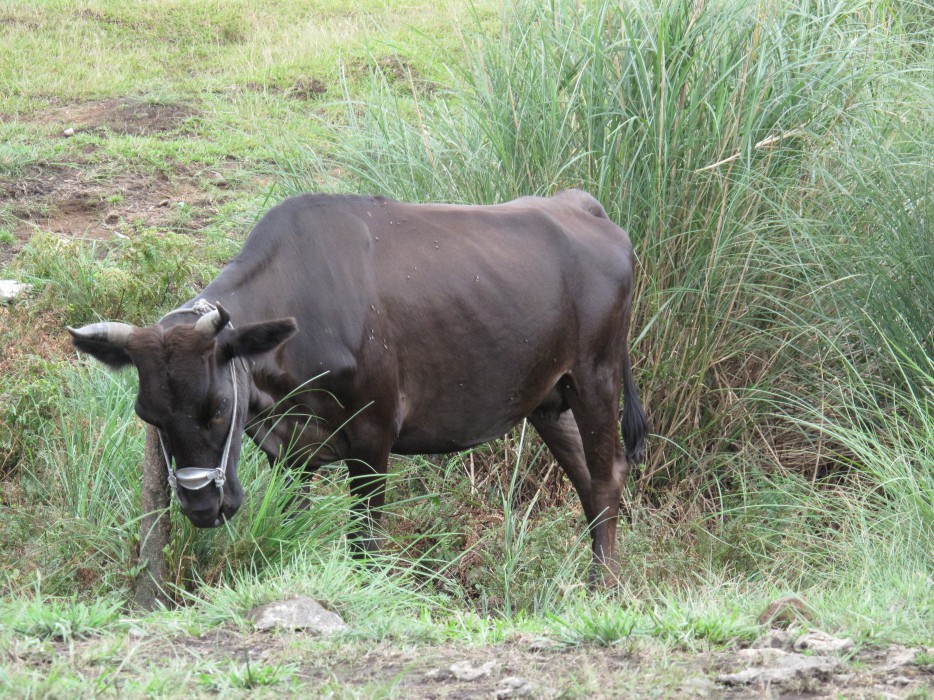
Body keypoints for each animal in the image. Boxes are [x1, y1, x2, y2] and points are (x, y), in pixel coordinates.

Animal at [67, 190, 652, 580]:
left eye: (217, 406)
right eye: (149, 416)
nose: (200, 506)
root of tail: (581, 205)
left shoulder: (373, 436)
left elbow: (364, 541)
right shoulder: (290, 451)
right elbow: (295, 519)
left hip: (596, 375)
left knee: (606, 476)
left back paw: (603, 587)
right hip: (549, 399)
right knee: (588, 480)